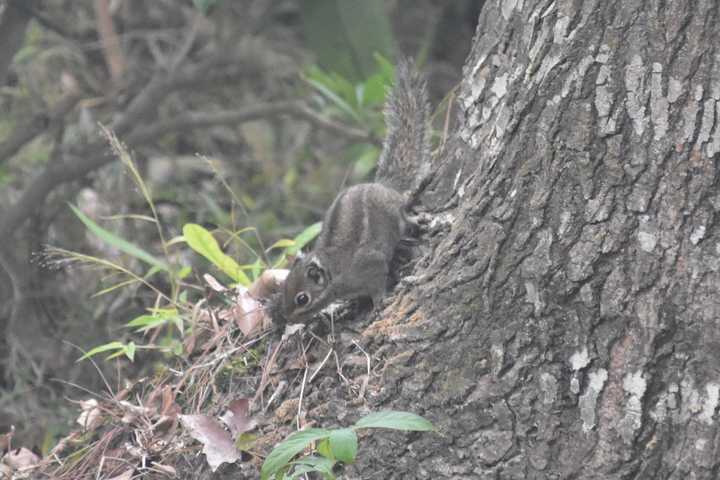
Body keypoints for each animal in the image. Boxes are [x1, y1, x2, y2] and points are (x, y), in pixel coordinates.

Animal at [276, 59, 434, 322]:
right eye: (285, 286)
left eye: (302, 298)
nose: (287, 319)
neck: (337, 270)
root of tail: (383, 185)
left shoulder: (372, 265)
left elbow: (378, 285)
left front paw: (378, 302)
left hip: (395, 216)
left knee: (404, 216)